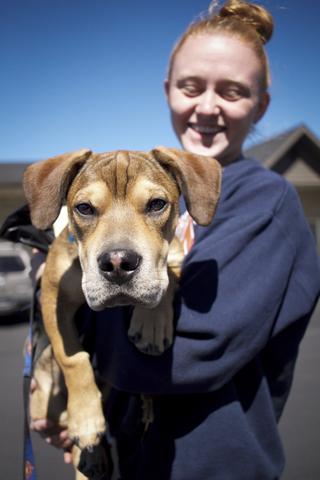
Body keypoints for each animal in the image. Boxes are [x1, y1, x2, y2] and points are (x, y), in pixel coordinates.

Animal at [23, 148, 221, 478]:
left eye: (157, 204)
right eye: (84, 208)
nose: (117, 263)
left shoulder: (177, 259)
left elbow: (166, 276)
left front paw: (151, 322)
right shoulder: (51, 295)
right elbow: (73, 357)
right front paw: (86, 418)